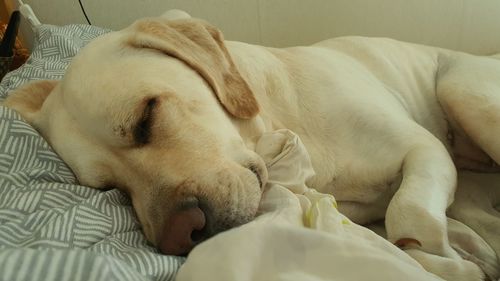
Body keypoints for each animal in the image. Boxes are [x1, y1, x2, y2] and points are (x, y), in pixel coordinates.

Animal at [3, 9, 500, 278]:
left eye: (146, 117)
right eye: (110, 188)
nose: (179, 236)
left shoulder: (424, 150)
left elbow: (409, 214)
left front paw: (447, 257)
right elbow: (397, 240)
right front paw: (457, 261)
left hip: (461, 88)